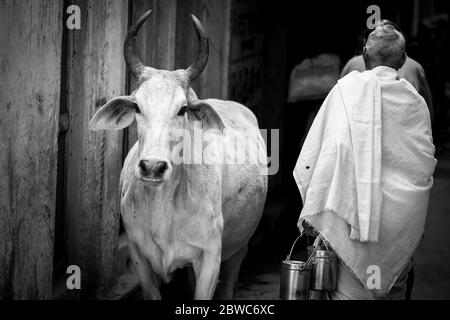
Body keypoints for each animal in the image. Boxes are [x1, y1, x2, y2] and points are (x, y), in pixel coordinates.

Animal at [88, 10, 268, 300]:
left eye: (183, 109)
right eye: (137, 106)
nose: (152, 167)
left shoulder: (210, 257)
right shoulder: (138, 256)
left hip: (239, 247)